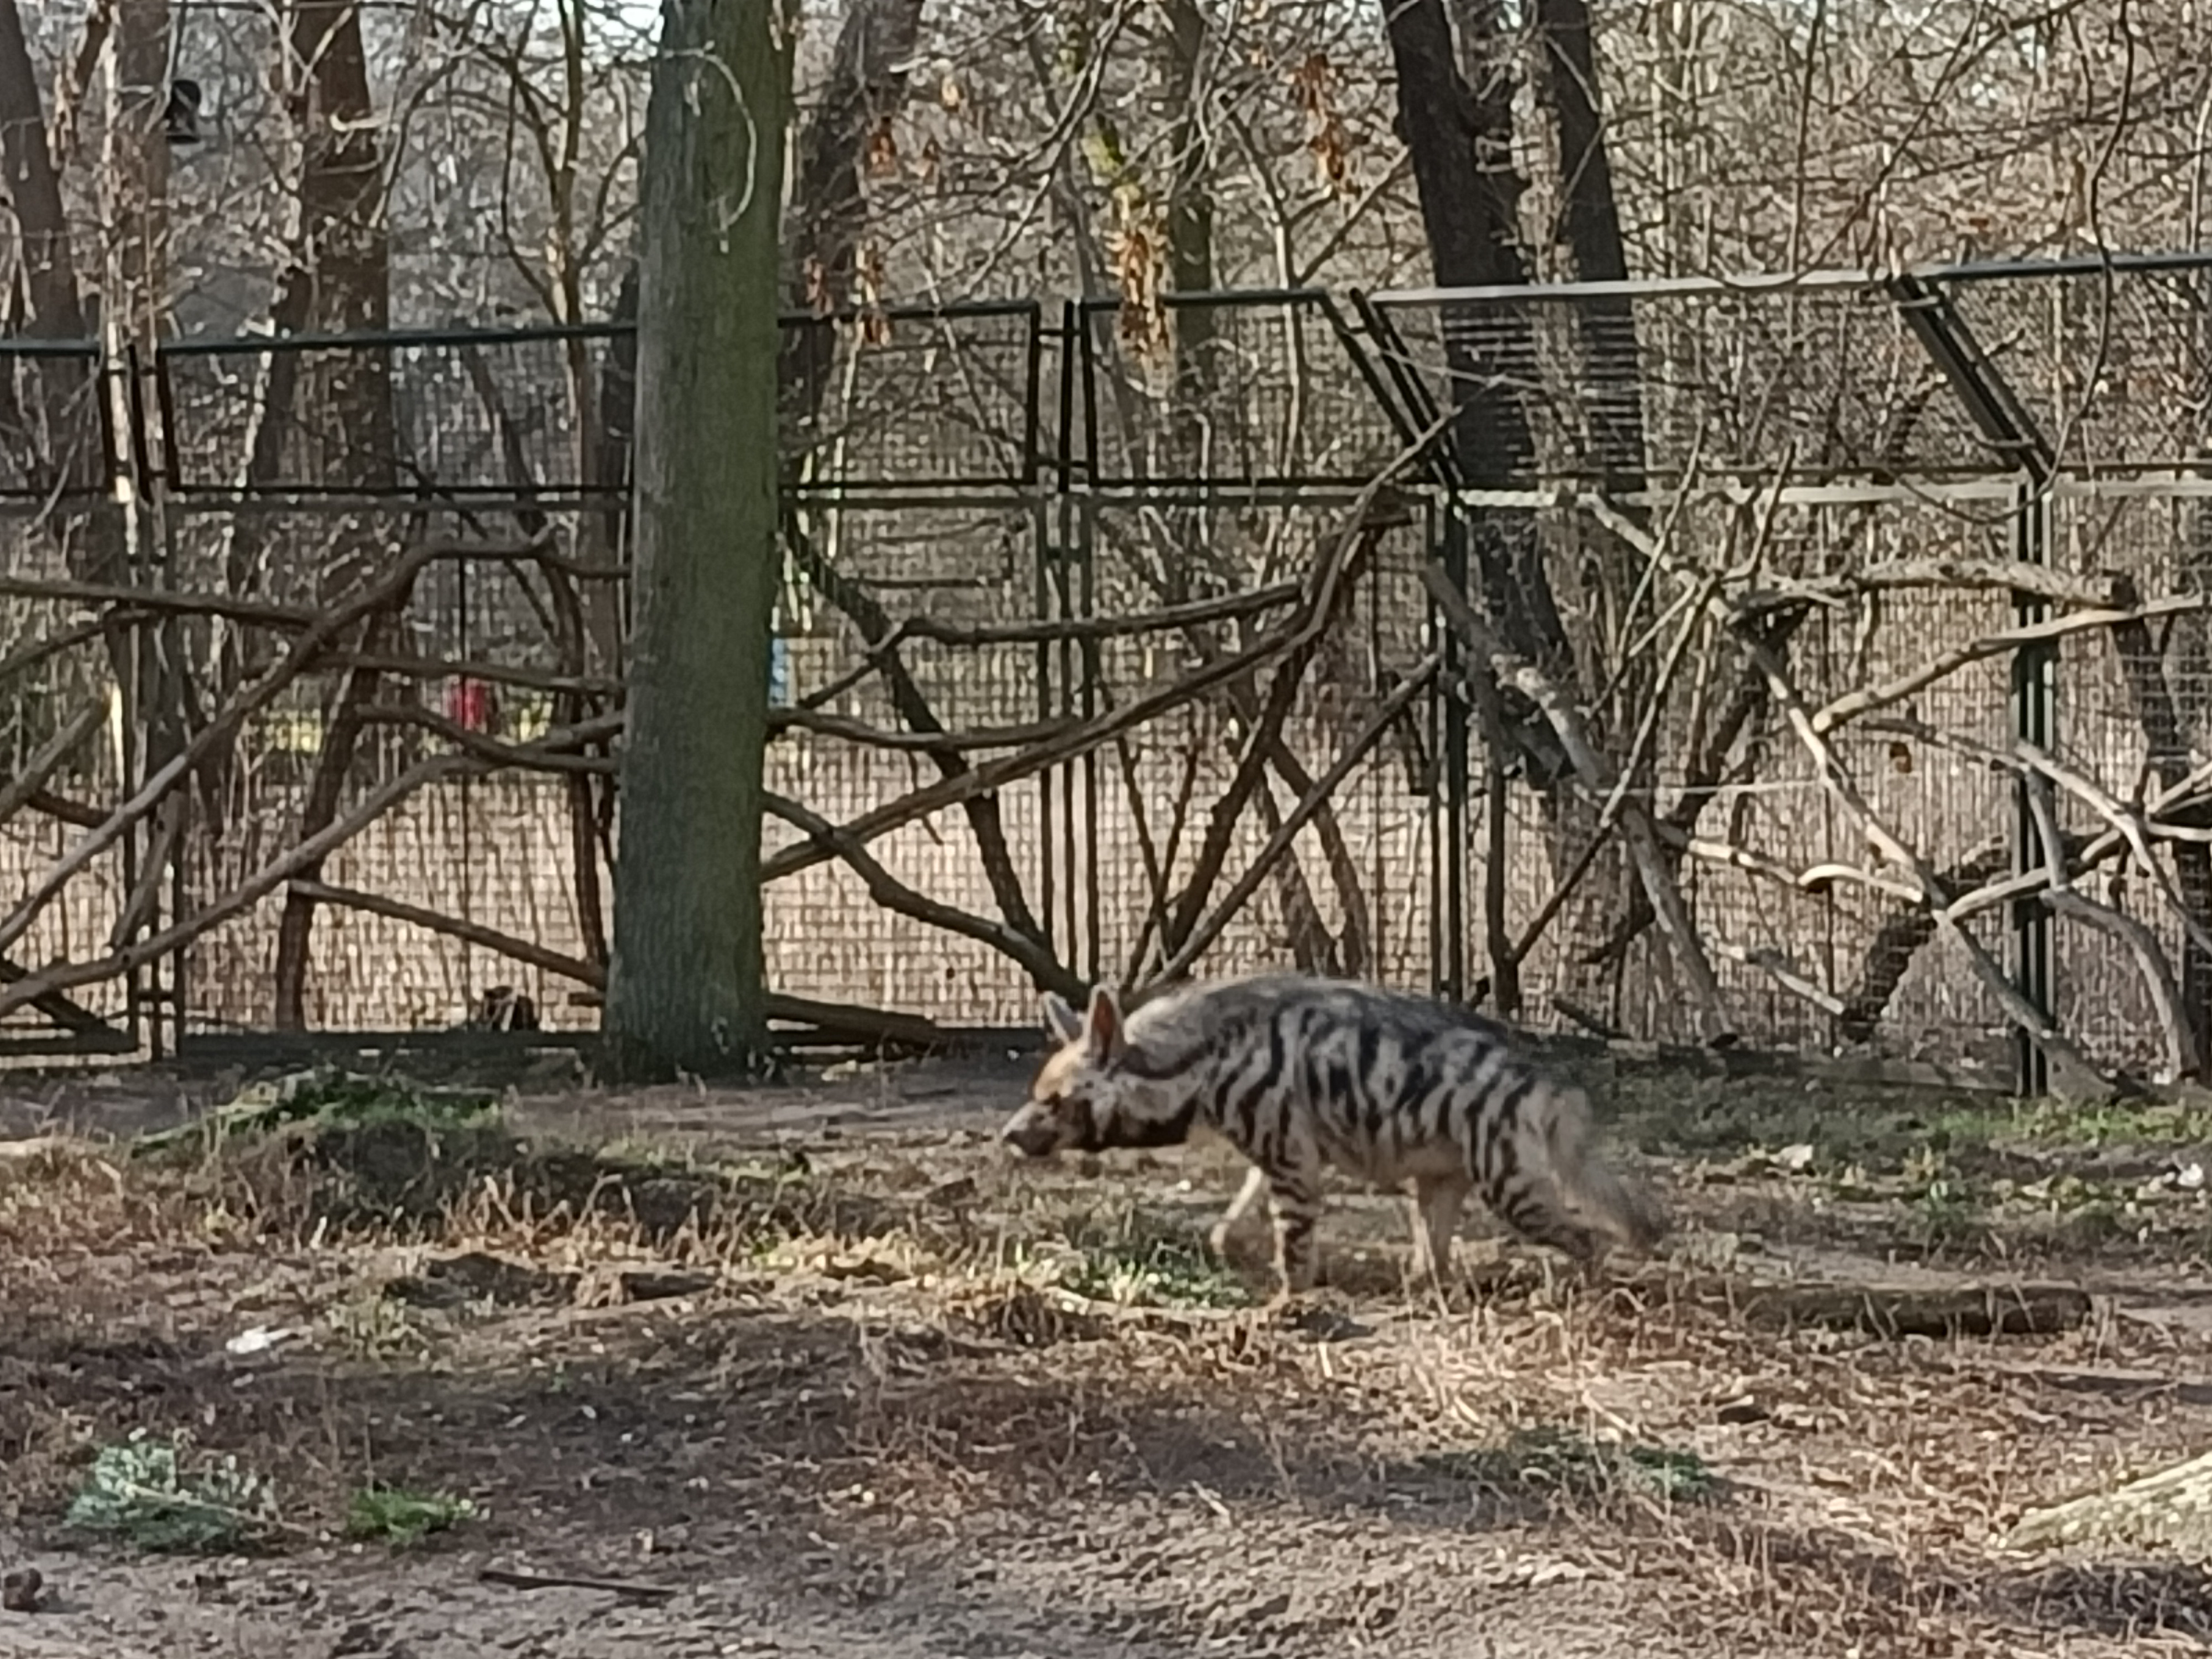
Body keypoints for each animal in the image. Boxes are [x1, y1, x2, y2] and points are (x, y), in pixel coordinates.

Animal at [1000, 972, 1666, 1299]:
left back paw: (1576, 1296)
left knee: (1586, 1238)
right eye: (1034, 1092)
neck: (1202, 1064)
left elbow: (1295, 1244)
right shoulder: (1279, 1147)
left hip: (1509, 1185)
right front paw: (1234, 1249)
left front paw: (1289, 1307)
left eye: (1054, 1102)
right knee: (1433, 1261)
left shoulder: (1289, 1155)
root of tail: (1550, 1084)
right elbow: (1232, 1221)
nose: (1008, 1134)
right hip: (1439, 1181)